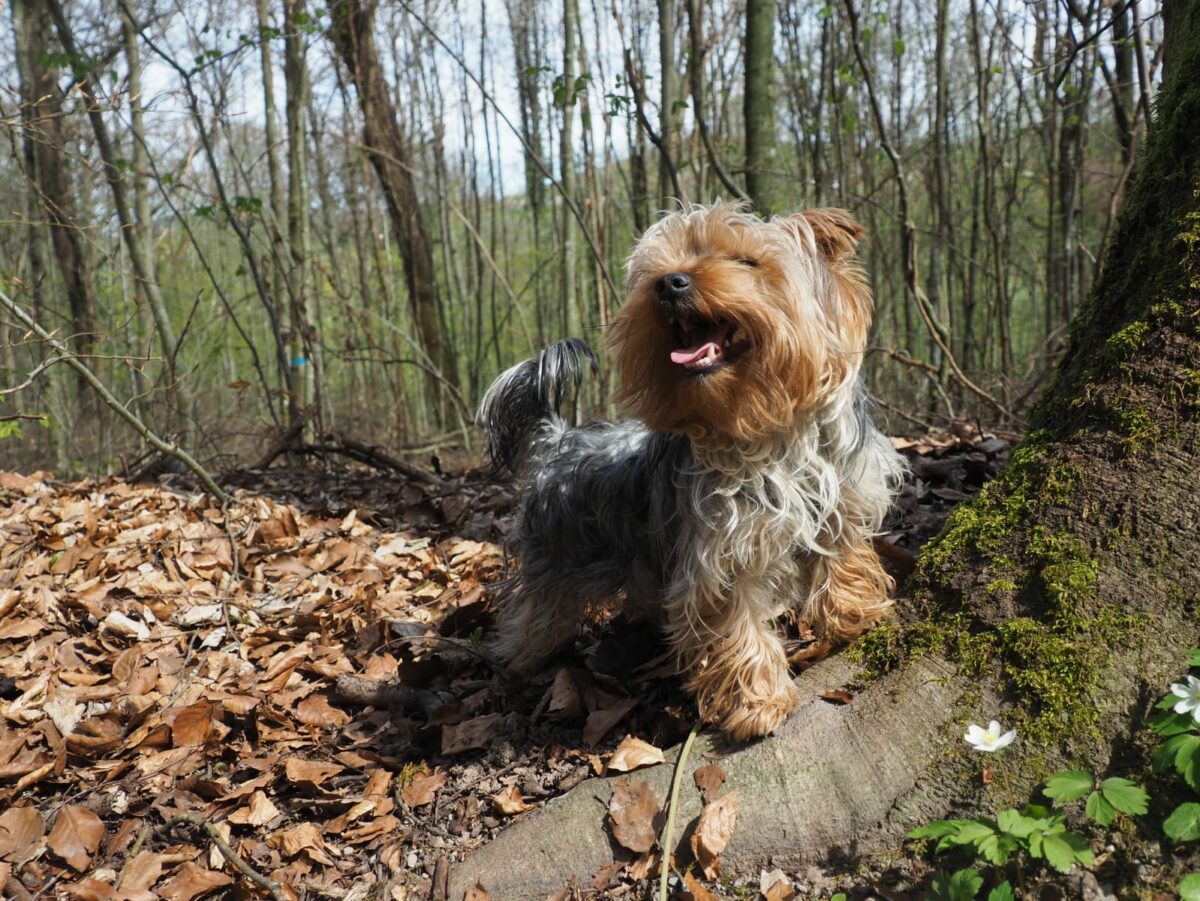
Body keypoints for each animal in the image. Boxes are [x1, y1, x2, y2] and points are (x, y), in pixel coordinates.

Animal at [478, 203, 905, 740]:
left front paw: (854, 613)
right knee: (530, 619)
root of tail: (558, 441)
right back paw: (518, 664)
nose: (669, 283)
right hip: (553, 564)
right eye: (660, 267)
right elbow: (737, 623)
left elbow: (846, 555)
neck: (768, 428)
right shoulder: (723, 554)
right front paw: (758, 703)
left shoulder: (845, 499)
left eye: (746, 261)